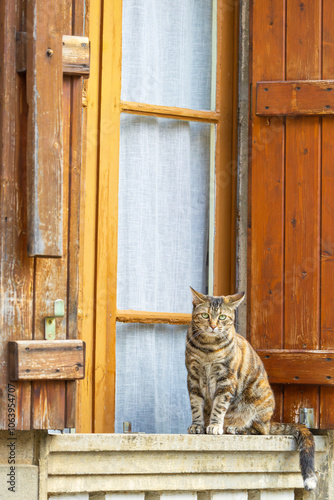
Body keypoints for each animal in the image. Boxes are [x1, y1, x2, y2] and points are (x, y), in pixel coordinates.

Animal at [187, 288, 318, 490]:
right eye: (205, 315)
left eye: (222, 317)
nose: (214, 326)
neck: (208, 349)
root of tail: (269, 421)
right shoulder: (193, 376)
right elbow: (196, 405)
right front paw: (198, 425)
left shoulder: (226, 379)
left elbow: (219, 406)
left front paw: (214, 425)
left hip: (256, 401)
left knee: (261, 431)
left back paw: (234, 428)